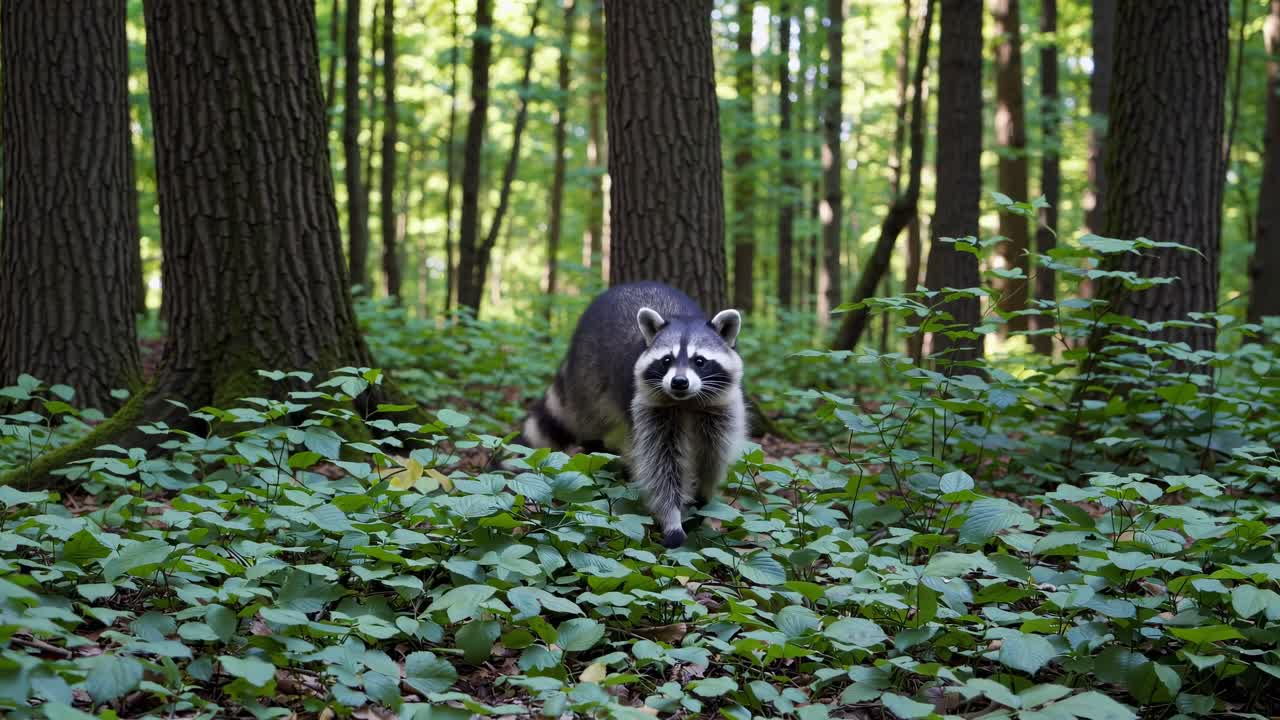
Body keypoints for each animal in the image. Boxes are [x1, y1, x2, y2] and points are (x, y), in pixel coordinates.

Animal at [515, 281, 747, 548]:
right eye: (666, 360)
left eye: (699, 361)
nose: (679, 382)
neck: (687, 402)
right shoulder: (650, 407)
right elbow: (660, 467)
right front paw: (672, 517)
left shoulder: (720, 408)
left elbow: (712, 456)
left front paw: (704, 495)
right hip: (588, 378)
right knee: (594, 434)